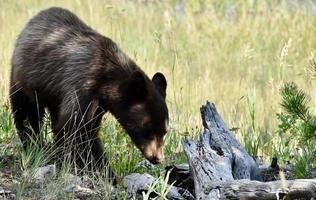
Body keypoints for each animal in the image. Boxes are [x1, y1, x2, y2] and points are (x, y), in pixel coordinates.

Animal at [9, 7, 168, 177]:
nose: (158, 158)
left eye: (164, 131)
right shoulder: (82, 87)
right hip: (24, 79)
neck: (106, 79)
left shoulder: (99, 104)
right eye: (148, 129)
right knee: (26, 114)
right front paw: (102, 170)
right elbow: (77, 131)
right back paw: (33, 145)